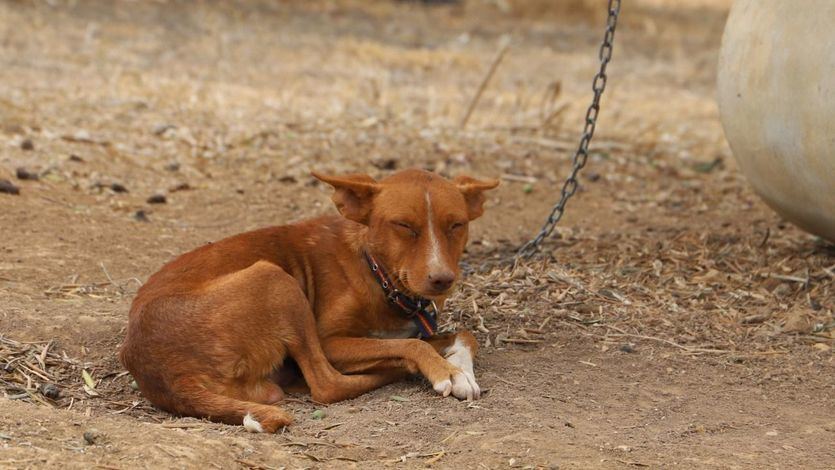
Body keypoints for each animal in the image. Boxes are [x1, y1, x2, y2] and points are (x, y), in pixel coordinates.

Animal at [121, 169, 500, 434]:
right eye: (403, 226)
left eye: (456, 225)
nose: (442, 279)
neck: (374, 271)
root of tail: (162, 373)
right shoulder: (330, 342)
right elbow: (412, 345)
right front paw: (444, 369)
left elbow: (465, 334)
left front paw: (461, 370)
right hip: (275, 278)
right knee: (327, 384)